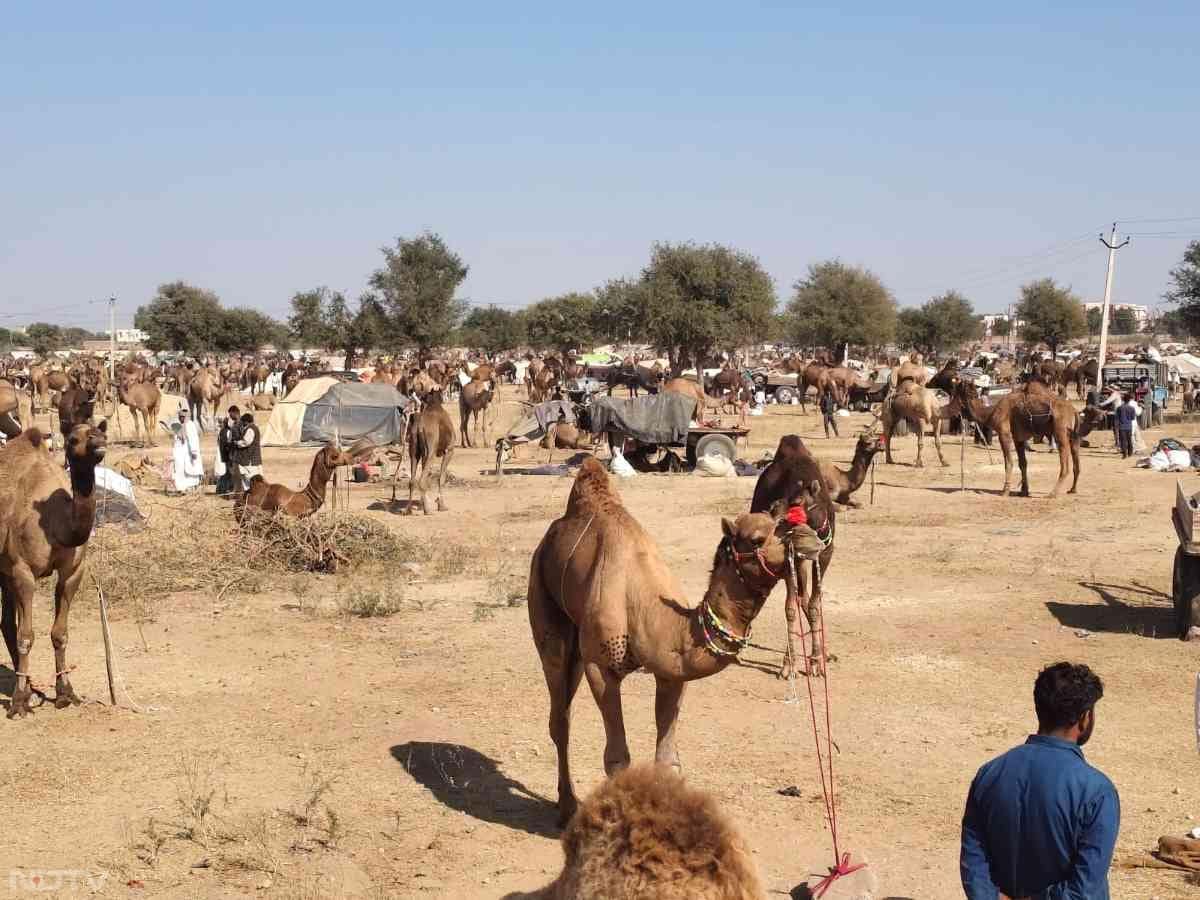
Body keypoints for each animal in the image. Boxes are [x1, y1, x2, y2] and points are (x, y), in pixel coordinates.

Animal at [0, 422, 108, 720]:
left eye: (98, 428)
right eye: (72, 439)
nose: (99, 441)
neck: (56, 525)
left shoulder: (73, 572)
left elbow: (59, 633)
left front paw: (65, 693)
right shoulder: (22, 571)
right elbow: (26, 636)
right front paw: (18, 703)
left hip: (4, 574)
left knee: (7, 624)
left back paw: (31, 687)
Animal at [532, 458, 825, 825]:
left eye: (783, 522)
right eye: (757, 539)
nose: (811, 540)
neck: (647, 607)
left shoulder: (672, 672)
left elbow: (667, 761)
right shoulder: (600, 665)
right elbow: (617, 757)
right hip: (546, 607)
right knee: (560, 715)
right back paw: (567, 807)